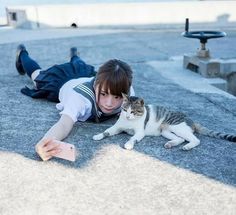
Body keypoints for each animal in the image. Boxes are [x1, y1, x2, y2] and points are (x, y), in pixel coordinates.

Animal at [92, 93, 236, 150]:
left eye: (133, 112)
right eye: (125, 109)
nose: (127, 116)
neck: (129, 123)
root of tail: (191, 119)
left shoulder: (139, 132)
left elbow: (133, 138)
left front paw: (128, 144)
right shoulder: (117, 127)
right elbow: (107, 131)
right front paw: (98, 136)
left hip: (177, 127)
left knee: (195, 140)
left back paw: (187, 147)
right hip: (165, 131)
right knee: (181, 139)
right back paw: (170, 144)